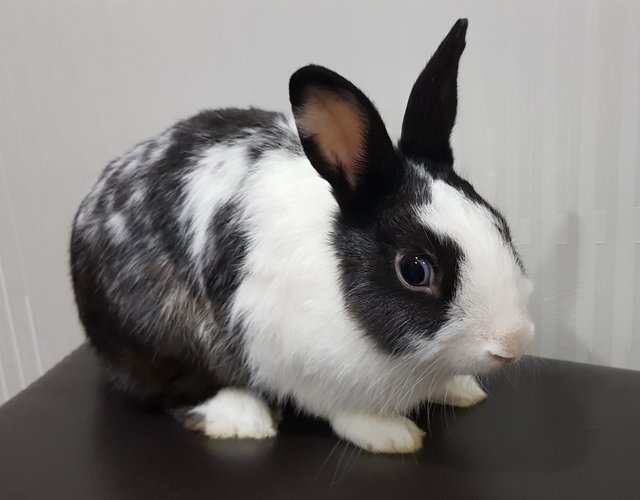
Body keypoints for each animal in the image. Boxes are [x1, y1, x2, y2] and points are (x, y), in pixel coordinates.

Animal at [70, 19, 536, 454]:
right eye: (415, 270)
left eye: (500, 224)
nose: (512, 341)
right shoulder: (293, 362)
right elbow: (344, 412)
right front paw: (391, 435)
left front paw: (461, 389)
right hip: (160, 341)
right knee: (172, 391)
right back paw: (244, 418)